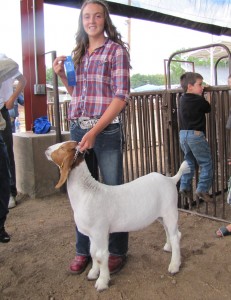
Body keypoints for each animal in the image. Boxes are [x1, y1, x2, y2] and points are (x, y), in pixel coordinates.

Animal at [44, 141, 189, 290]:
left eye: (63, 148)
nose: (47, 149)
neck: (88, 193)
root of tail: (170, 179)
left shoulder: (100, 231)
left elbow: (101, 256)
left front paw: (102, 282)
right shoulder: (92, 234)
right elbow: (92, 252)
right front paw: (93, 273)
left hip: (170, 210)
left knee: (176, 235)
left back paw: (174, 265)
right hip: (161, 215)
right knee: (169, 231)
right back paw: (168, 247)